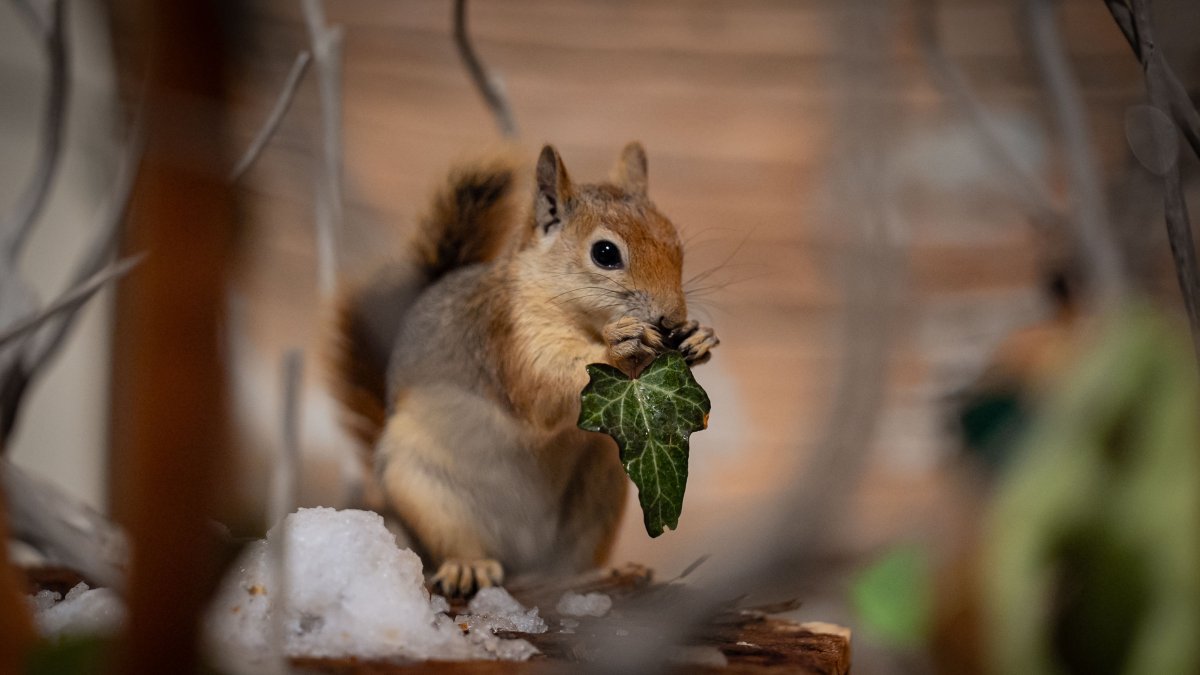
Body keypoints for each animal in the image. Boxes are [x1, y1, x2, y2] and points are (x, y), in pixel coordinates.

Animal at [330, 142, 719, 597]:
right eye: (605, 253)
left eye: (675, 241)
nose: (671, 321)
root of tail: (524, 558)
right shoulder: (506, 340)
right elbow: (543, 391)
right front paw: (623, 344)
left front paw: (698, 339)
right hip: (424, 490)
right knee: (452, 540)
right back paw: (468, 566)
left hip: (602, 493)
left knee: (570, 563)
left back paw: (606, 574)